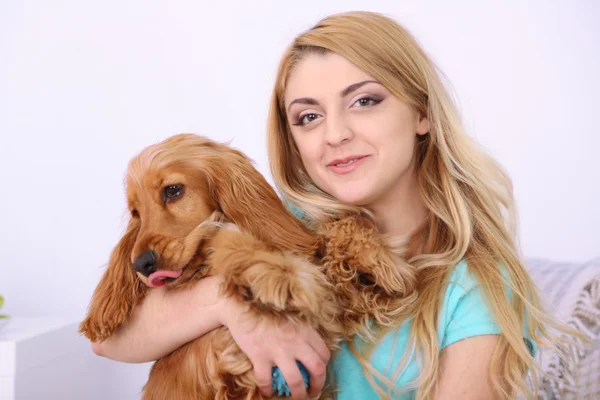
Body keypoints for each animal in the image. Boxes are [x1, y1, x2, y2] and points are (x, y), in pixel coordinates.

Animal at [81, 134, 418, 396]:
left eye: (173, 190)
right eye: (136, 213)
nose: (141, 263)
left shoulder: (328, 315)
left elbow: (341, 230)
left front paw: (381, 261)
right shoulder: (232, 368)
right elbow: (227, 238)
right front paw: (280, 275)